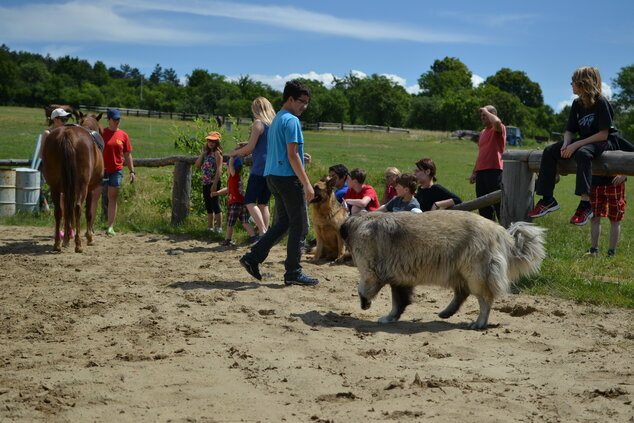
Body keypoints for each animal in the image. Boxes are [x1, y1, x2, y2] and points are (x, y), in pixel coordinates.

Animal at [42, 119, 103, 252]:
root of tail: (67, 133)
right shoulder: (90, 189)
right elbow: (89, 212)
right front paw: (89, 237)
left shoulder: (66, 190)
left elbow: (66, 212)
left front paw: (66, 239)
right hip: (82, 186)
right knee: (78, 208)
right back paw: (78, 244)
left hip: (55, 187)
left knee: (59, 211)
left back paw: (58, 244)